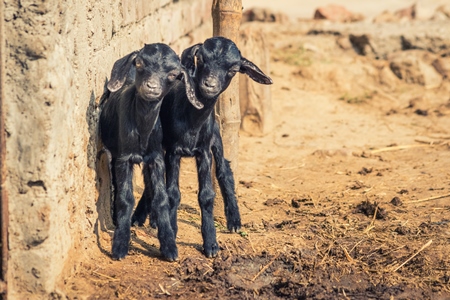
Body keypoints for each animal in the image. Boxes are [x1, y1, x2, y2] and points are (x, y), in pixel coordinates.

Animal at [101, 43, 203, 262]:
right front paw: (120, 246)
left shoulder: (156, 158)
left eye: (173, 74)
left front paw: (170, 247)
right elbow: (125, 198)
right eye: (140, 63)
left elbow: (162, 197)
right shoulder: (123, 158)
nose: (151, 87)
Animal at [132, 37, 272, 258]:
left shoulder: (204, 151)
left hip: (217, 138)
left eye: (233, 69)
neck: (192, 119)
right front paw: (171, 230)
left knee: (225, 171)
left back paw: (234, 221)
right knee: (151, 177)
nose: (210, 85)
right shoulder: (173, 151)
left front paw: (211, 244)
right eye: (202, 59)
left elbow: (206, 195)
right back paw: (143, 217)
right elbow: (172, 193)